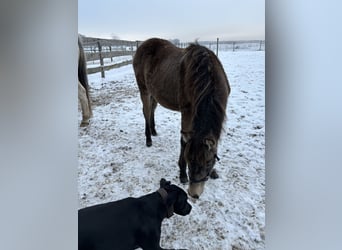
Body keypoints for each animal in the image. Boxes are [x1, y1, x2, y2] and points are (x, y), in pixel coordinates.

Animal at [132, 38, 231, 198]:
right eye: (189, 159)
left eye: (209, 162)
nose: (194, 193)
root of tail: (142, 46)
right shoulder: (187, 111)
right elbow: (184, 142)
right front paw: (182, 174)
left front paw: (213, 173)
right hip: (144, 90)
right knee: (146, 112)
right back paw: (148, 139)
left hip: (154, 93)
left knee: (151, 109)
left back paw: (153, 131)